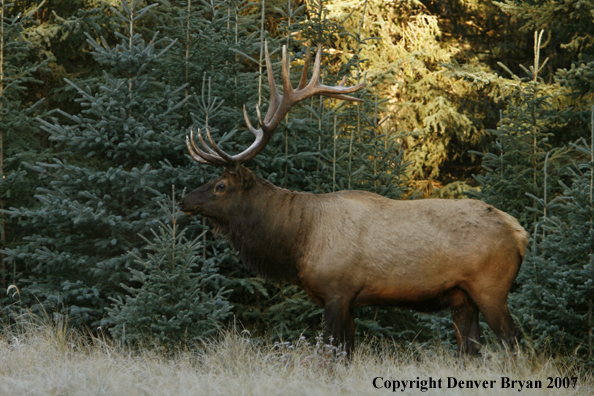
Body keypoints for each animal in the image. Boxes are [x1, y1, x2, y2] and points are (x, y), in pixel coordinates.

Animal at [177, 42, 528, 356]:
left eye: (221, 185)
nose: (184, 200)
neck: (298, 239)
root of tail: (520, 232)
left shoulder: (338, 290)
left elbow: (330, 353)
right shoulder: (350, 301)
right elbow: (346, 353)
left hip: (490, 288)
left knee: (514, 342)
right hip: (461, 297)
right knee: (471, 348)